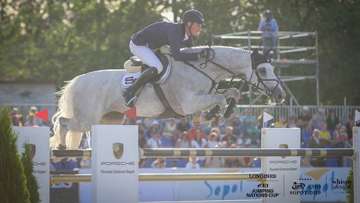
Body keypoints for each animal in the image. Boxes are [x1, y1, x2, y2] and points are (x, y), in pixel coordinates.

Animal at [52, 45, 286, 148]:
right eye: (263, 70)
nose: (280, 95)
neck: (203, 68)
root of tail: (77, 81)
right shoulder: (189, 103)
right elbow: (219, 98)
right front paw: (215, 113)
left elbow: (232, 92)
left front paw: (221, 111)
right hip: (86, 119)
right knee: (63, 123)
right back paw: (61, 147)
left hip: (109, 119)